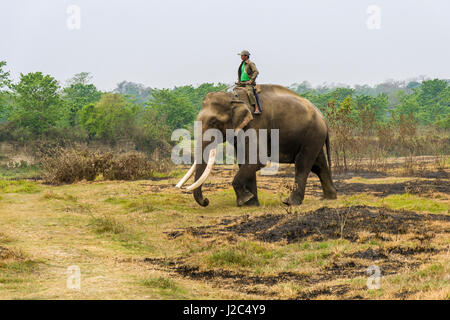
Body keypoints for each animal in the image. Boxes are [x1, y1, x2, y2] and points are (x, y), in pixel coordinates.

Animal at [176, 84, 338, 206]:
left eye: (214, 123)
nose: (206, 201)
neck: (234, 97)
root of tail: (323, 118)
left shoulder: (255, 125)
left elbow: (257, 160)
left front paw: (245, 200)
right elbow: (245, 161)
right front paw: (250, 204)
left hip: (312, 134)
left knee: (303, 164)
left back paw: (290, 202)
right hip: (313, 137)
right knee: (319, 165)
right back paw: (329, 198)